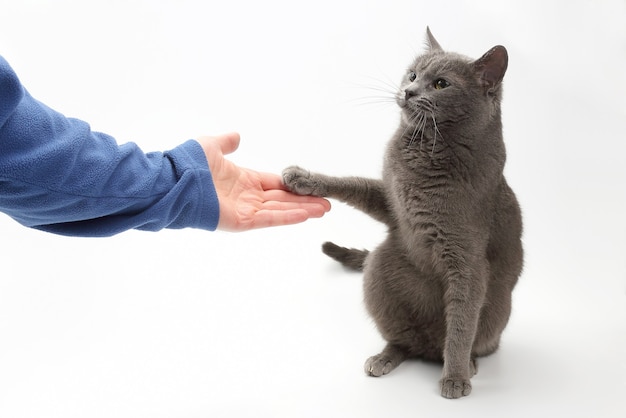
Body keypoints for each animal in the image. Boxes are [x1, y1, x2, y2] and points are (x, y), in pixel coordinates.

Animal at [282, 27, 520, 400]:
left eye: (440, 84)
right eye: (412, 75)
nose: (408, 91)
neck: (426, 148)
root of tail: (428, 349)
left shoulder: (466, 259)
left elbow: (462, 322)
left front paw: (455, 378)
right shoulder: (391, 201)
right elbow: (354, 185)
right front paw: (303, 178)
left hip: (496, 314)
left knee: (466, 339)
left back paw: (466, 364)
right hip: (381, 266)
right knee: (404, 341)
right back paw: (384, 357)